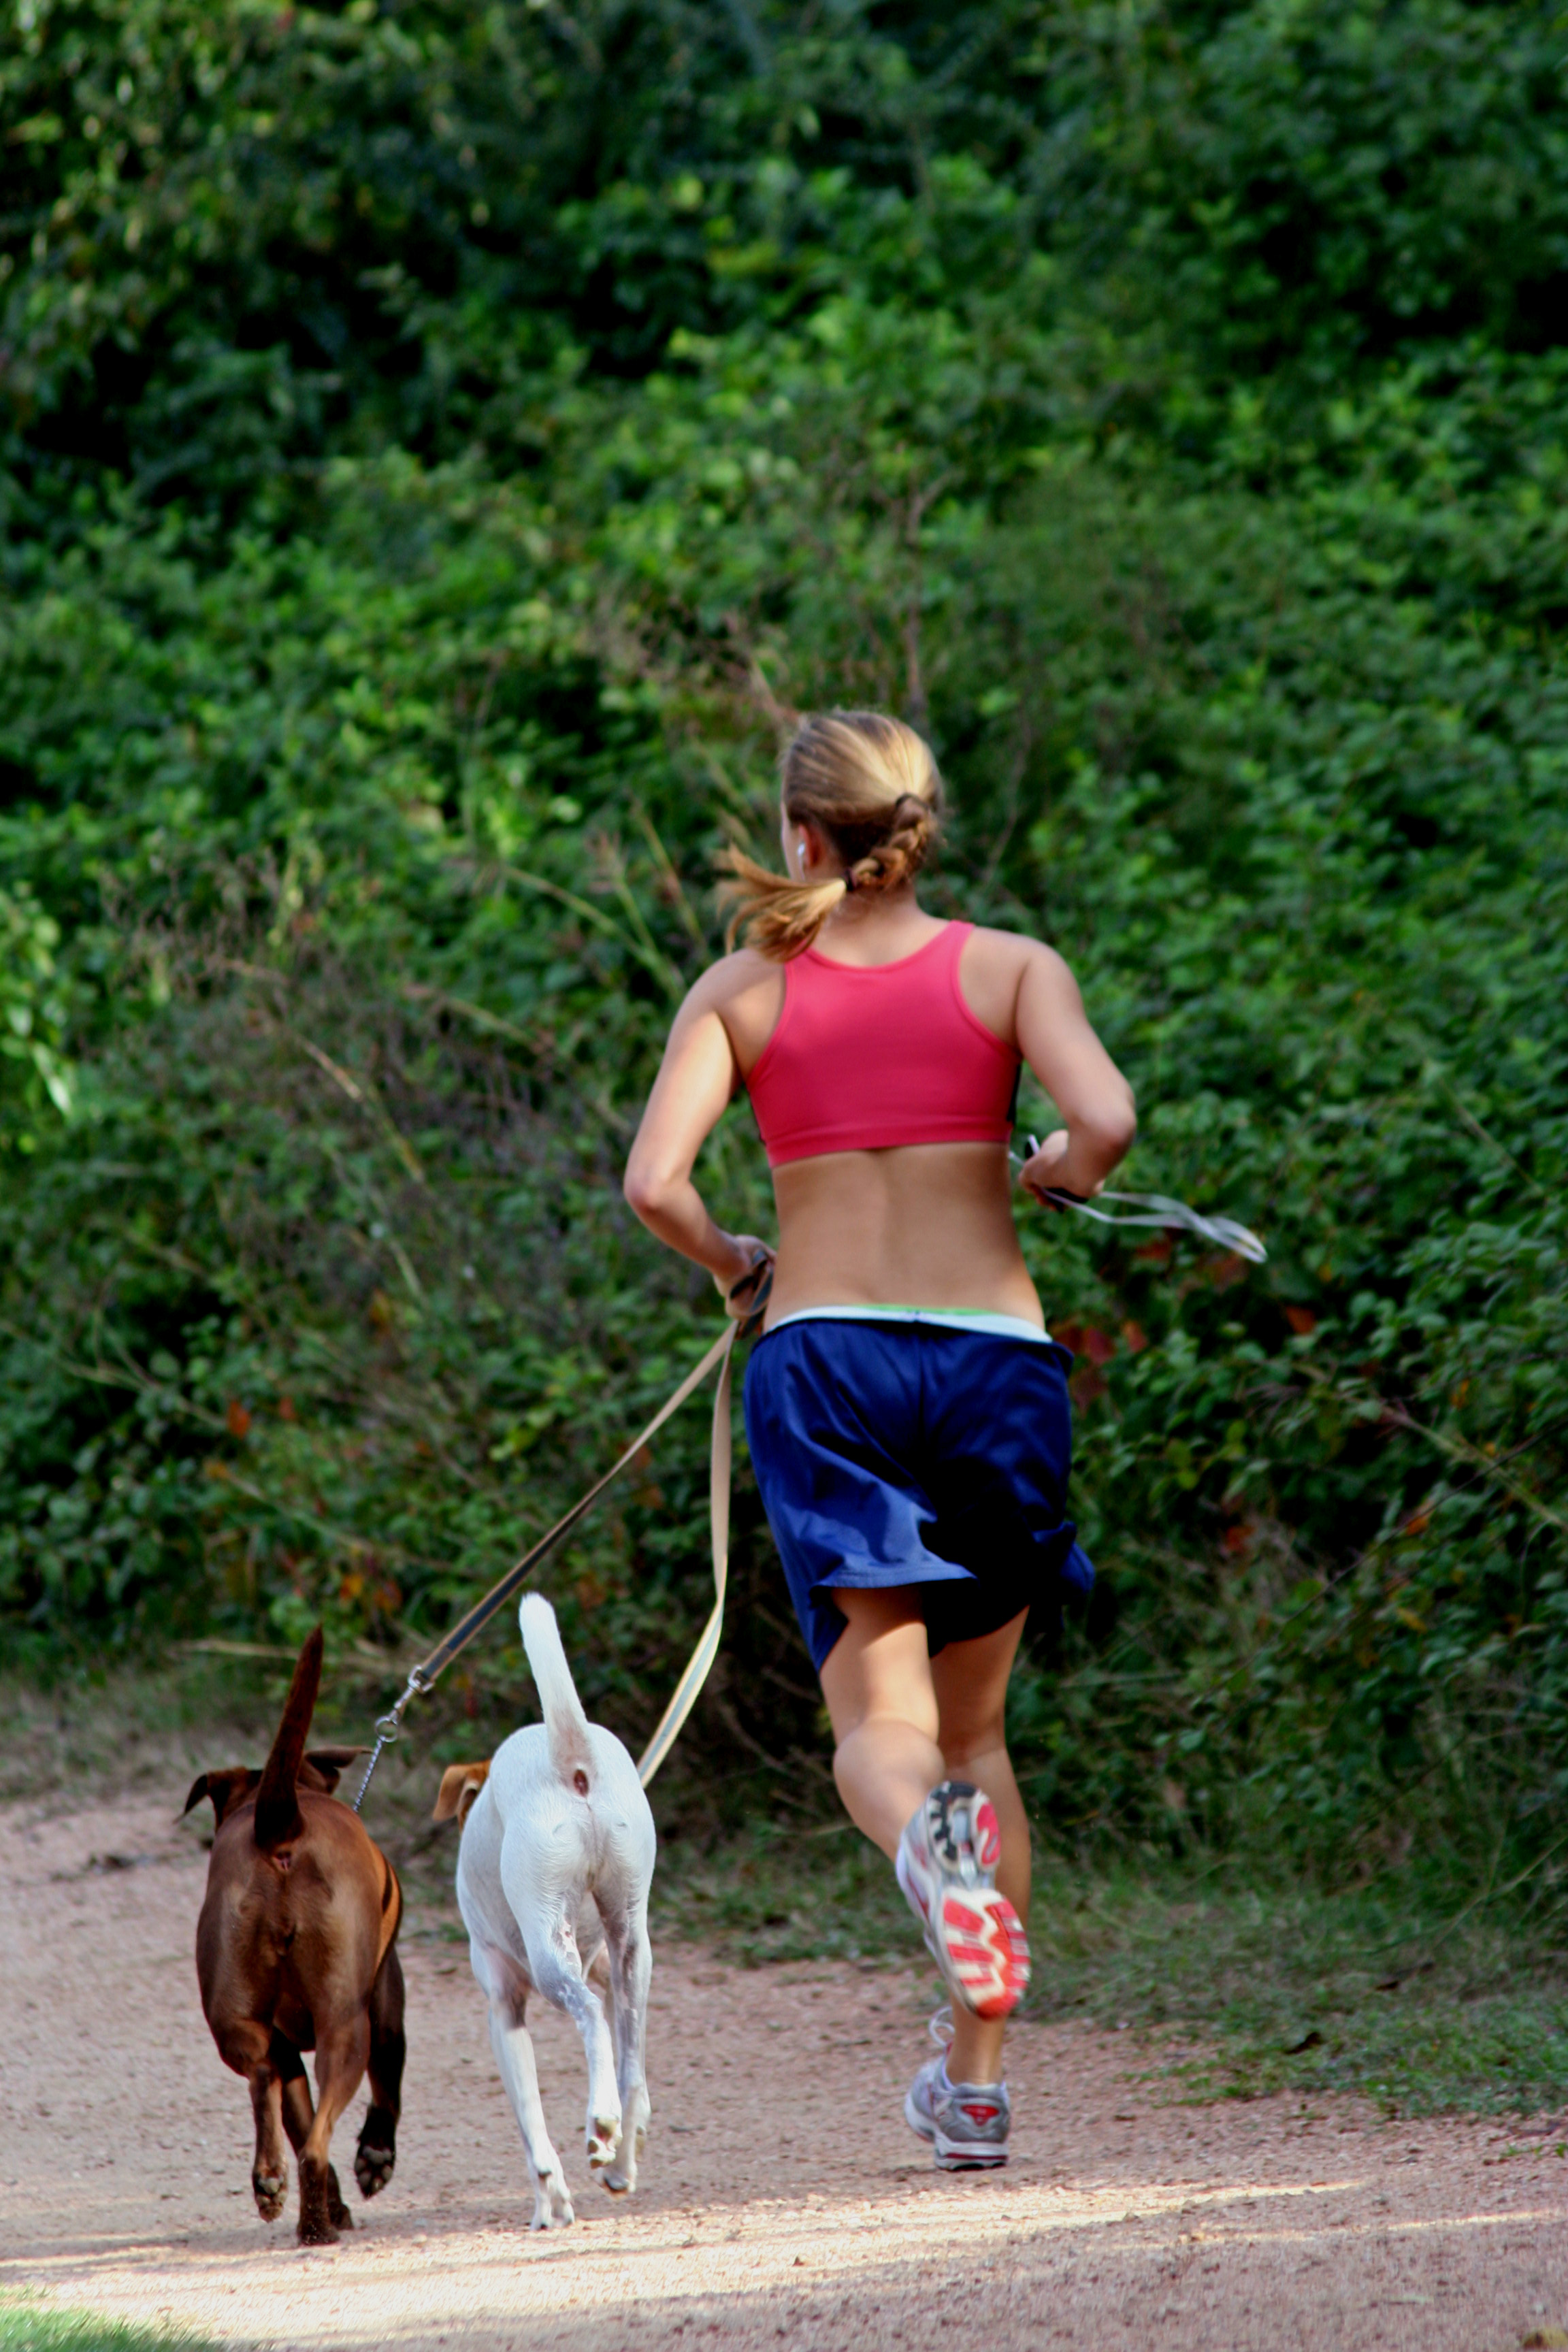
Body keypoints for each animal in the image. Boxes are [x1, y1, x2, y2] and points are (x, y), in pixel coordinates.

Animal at [183, 1637, 404, 2239]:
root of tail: (277, 1826)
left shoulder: (286, 2049)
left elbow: (294, 2109)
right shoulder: (386, 2000)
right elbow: (389, 2083)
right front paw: (375, 2158)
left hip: (237, 2019)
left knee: (266, 2083)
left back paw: (274, 2184)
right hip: (346, 2025)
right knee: (318, 2140)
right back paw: (317, 2222)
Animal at [430, 1590, 658, 2230]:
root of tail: (571, 1759)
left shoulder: (503, 2008)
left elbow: (532, 2128)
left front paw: (550, 2202)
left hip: (551, 1951)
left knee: (591, 2019)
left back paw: (600, 2125)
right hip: (632, 1951)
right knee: (630, 2069)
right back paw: (618, 2160)